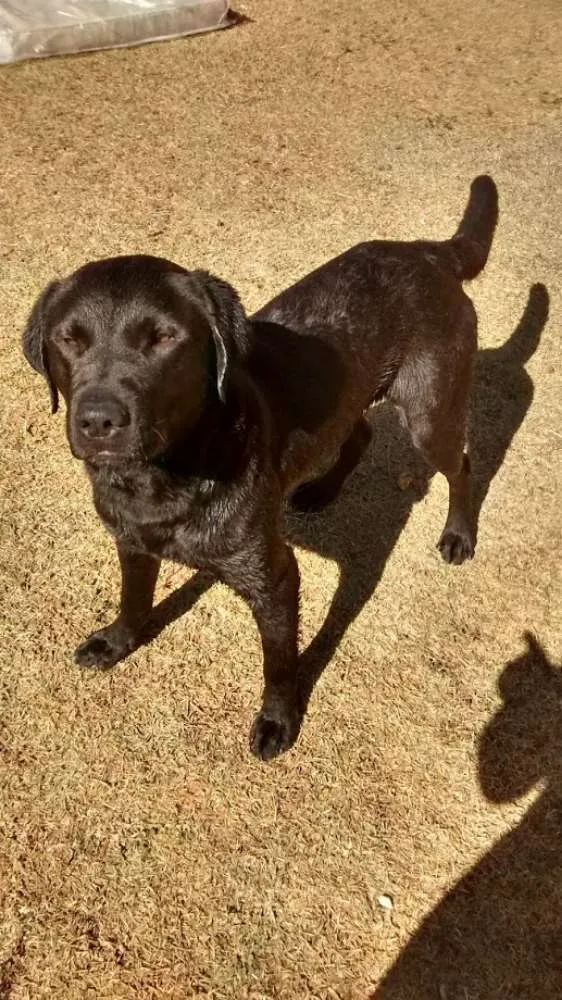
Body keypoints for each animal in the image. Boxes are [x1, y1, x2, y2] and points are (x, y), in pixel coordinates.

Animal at [21, 178, 496, 756]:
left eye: (163, 338)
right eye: (69, 338)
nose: (99, 419)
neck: (166, 478)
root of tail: (427, 251)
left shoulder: (274, 577)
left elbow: (279, 663)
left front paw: (278, 720)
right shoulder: (132, 542)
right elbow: (133, 598)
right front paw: (117, 642)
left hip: (429, 412)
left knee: (462, 464)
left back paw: (458, 534)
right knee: (359, 432)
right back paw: (320, 490)